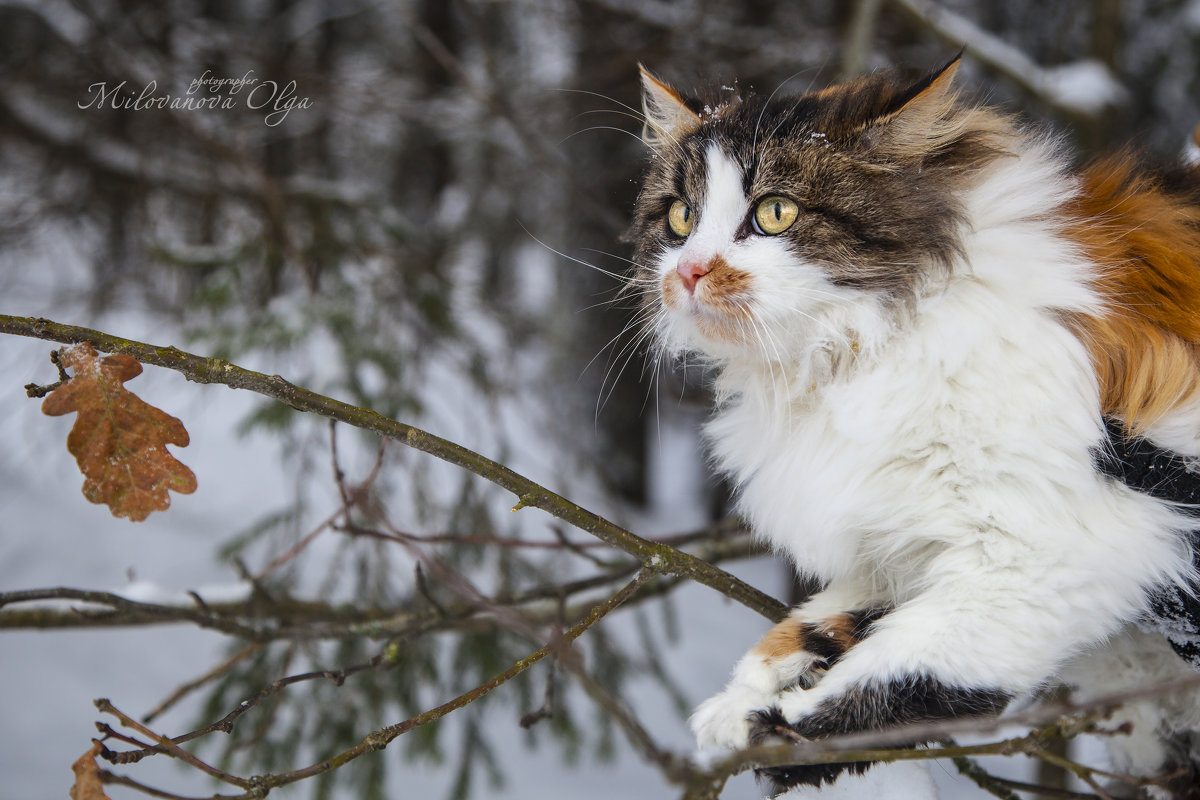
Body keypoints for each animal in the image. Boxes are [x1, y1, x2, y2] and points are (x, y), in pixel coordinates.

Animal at [628, 54, 1200, 796]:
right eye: (681, 216)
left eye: (775, 213)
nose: (691, 271)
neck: (848, 358)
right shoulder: (903, 534)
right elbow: (822, 622)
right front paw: (746, 694)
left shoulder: (1055, 549)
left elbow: (900, 676)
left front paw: (782, 733)